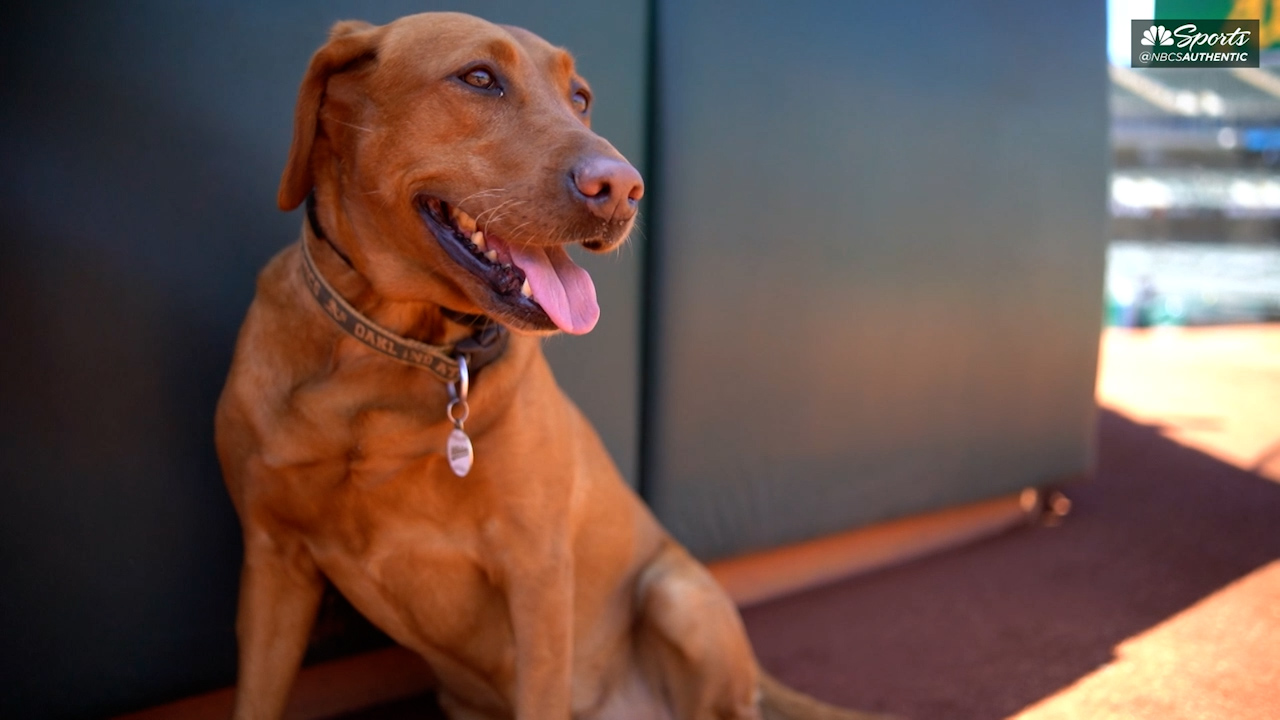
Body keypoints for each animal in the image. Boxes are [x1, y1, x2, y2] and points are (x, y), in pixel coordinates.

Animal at [217, 11, 890, 717]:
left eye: (581, 98)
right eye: (478, 78)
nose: (623, 188)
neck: (396, 353)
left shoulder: (536, 574)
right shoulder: (272, 564)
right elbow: (256, 695)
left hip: (678, 595)